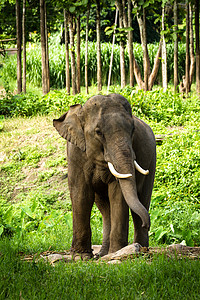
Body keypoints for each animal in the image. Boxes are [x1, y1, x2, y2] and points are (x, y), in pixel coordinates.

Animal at [53, 93, 156, 258]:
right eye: (98, 132)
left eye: (133, 129)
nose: (147, 224)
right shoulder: (75, 153)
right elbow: (81, 194)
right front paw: (81, 257)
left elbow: (118, 193)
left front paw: (116, 252)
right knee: (105, 208)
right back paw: (102, 254)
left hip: (152, 159)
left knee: (142, 199)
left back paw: (140, 250)